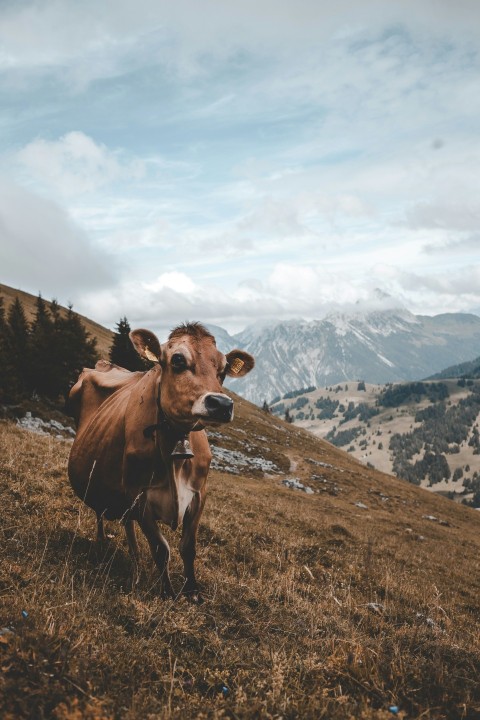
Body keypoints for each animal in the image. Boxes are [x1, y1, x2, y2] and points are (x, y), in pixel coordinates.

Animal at [68, 322, 255, 600]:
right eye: (177, 360)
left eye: (223, 370)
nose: (221, 404)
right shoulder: (138, 495)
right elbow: (161, 548)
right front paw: (166, 591)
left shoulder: (199, 494)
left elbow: (188, 547)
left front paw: (192, 592)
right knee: (101, 514)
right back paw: (103, 547)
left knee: (126, 524)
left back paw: (135, 564)